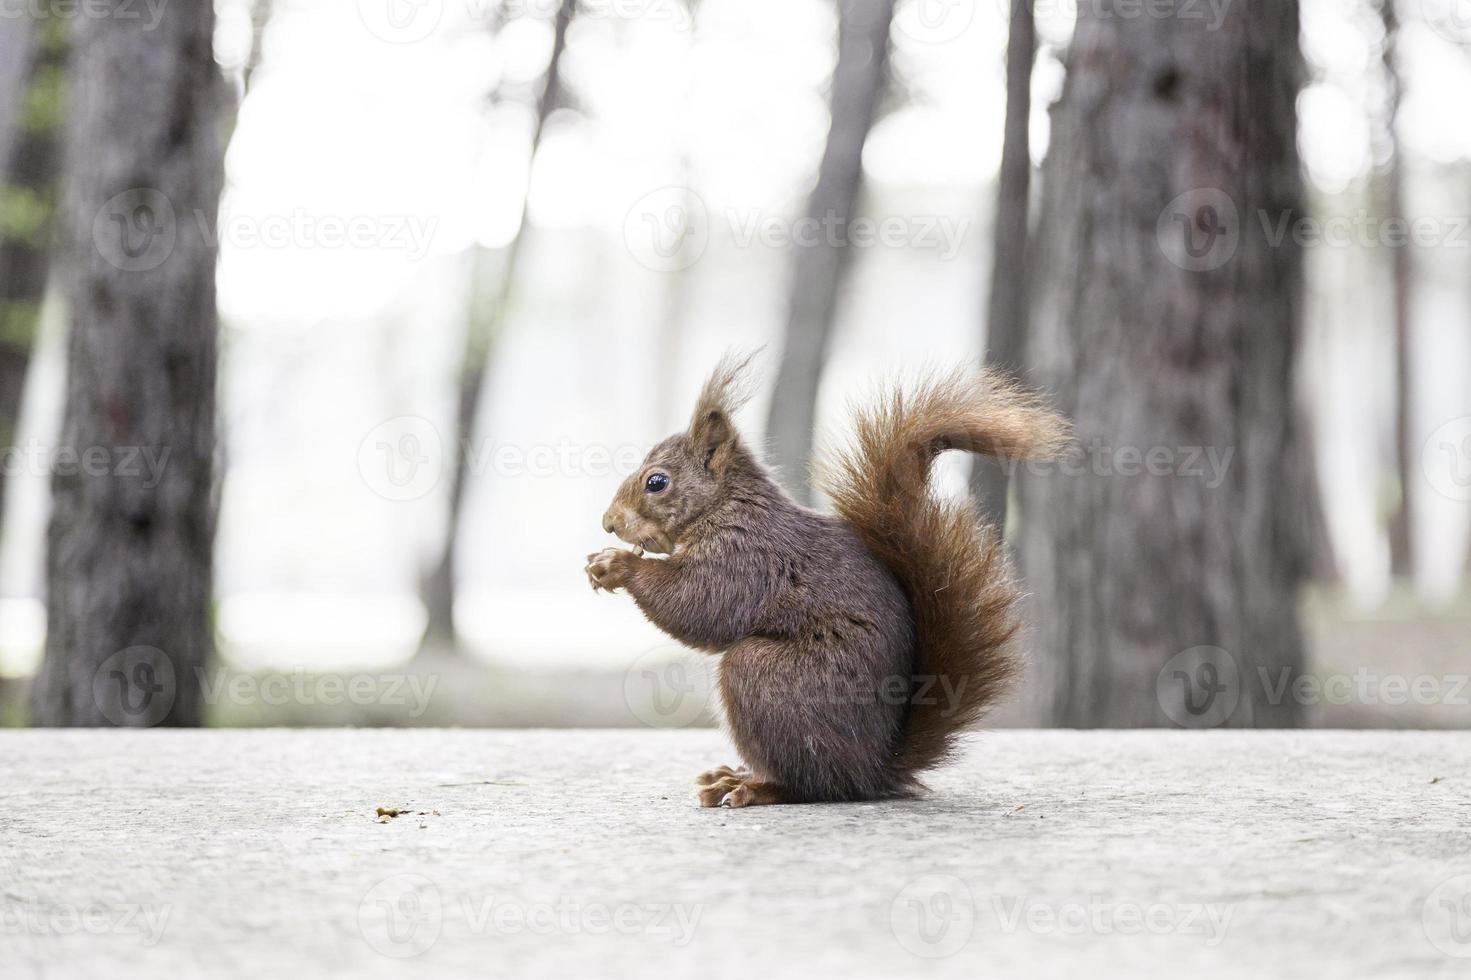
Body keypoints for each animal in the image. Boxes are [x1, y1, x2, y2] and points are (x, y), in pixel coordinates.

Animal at [585, 354, 1070, 806]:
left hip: (766, 678)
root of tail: (875, 770)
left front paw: (617, 565)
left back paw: (755, 787)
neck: (725, 506)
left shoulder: (745, 558)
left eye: (657, 482)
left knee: (813, 782)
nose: (608, 523)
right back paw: (732, 775)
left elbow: (698, 604)